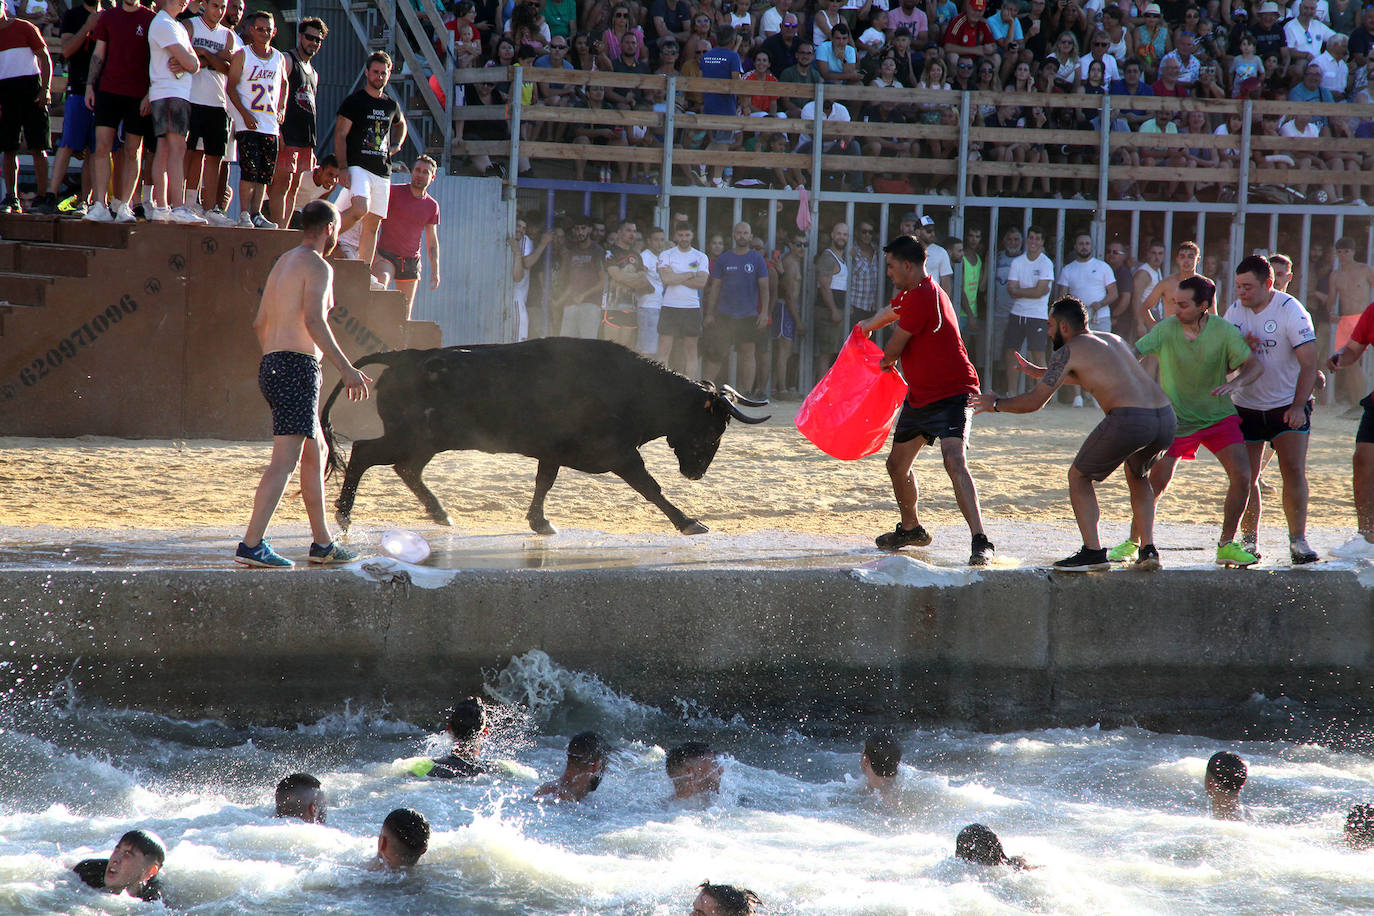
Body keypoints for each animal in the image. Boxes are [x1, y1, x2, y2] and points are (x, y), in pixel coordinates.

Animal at [324, 340, 774, 532]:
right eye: (715, 426)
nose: (697, 473)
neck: (633, 388)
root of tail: (403, 357)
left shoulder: (553, 451)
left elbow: (544, 482)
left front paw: (539, 521)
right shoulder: (620, 454)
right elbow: (651, 487)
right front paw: (689, 522)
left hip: (428, 441)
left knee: (407, 469)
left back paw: (441, 513)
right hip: (409, 435)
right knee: (364, 454)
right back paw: (344, 515)